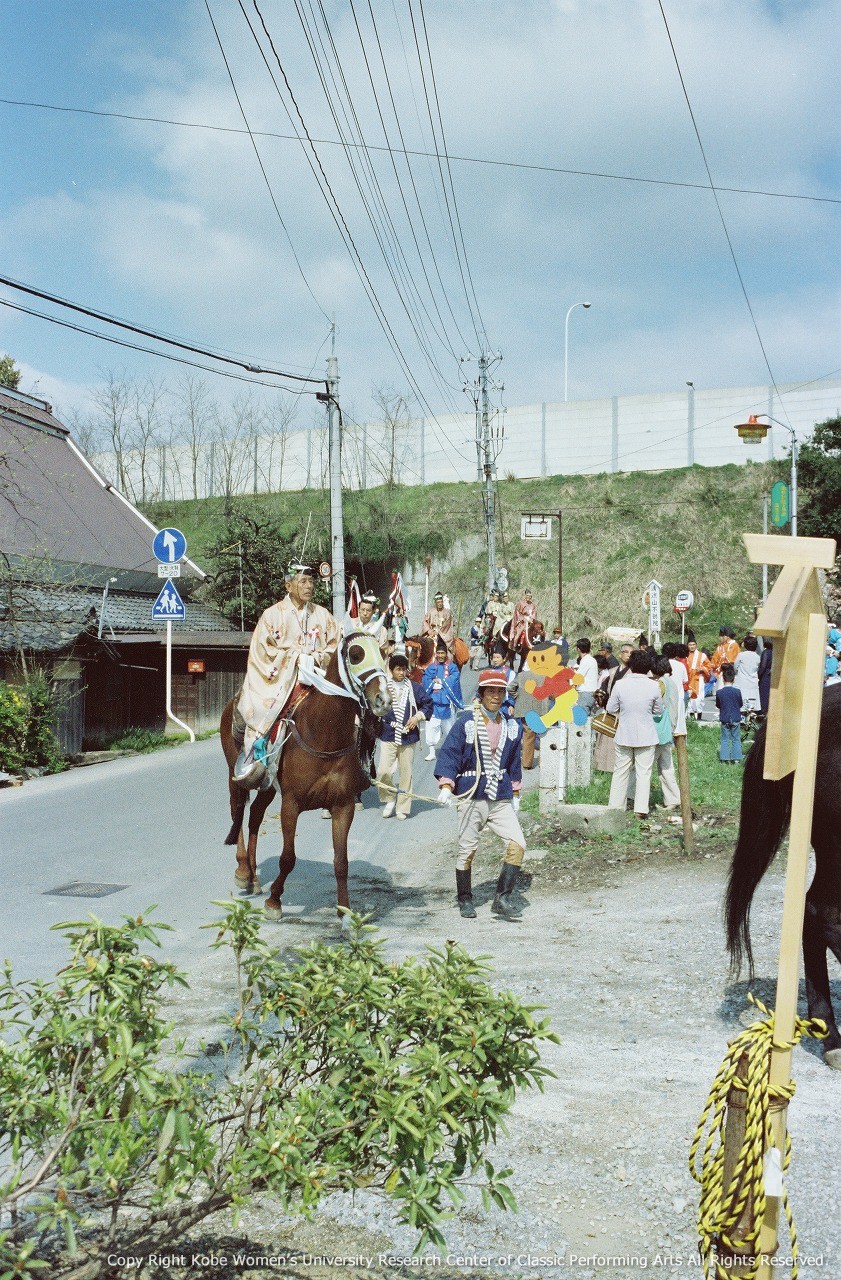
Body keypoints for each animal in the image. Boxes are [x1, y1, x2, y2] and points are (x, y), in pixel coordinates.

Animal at [220, 632, 390, 923]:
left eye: (381, 652)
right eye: (356, 655)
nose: (383, 699)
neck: (324, 733)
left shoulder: (342, 805)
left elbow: (341, 862)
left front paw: (345, 912)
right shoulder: (291, 804)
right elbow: (287, 858)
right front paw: (274, 902)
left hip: (268, 787)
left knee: (254, 816)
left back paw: (253, 877)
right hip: (237, 774)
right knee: (238, 812)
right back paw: (243, 871)